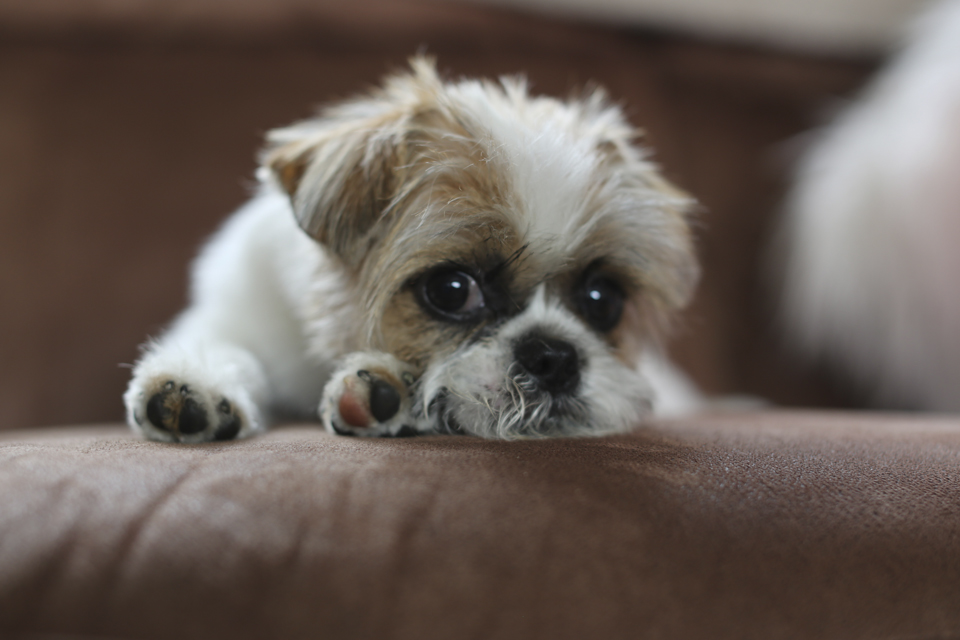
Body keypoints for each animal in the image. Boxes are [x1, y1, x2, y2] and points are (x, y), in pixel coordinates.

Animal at [124, 57, 700, 442]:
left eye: (603, 300)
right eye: (451, 290)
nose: (554, 355)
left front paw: (385, 395)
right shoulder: (236, 314)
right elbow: (223, 345)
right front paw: (196, 384)